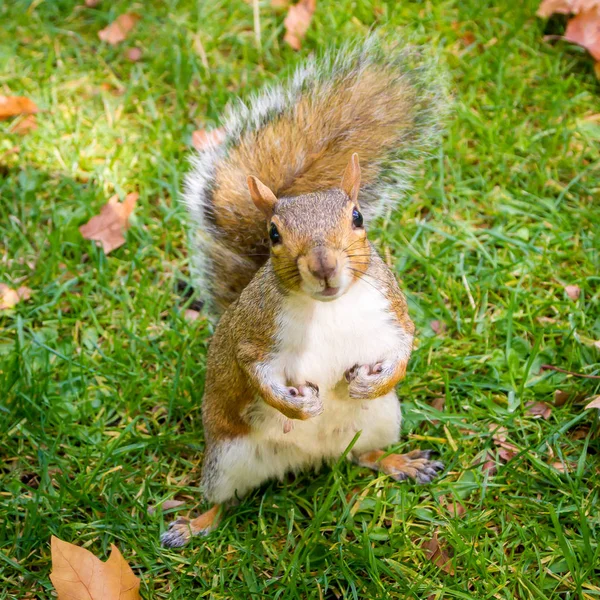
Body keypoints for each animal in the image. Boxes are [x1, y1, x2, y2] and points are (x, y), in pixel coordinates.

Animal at [159, 34, 446, 548]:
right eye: (273, 234)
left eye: (357, 217)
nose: (324, 266)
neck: (327, 309)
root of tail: (313, 459)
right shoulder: (253, 336)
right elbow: (255, 373)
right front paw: (297, 403)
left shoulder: (391, 309)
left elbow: (404, 346)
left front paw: (373, 379)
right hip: (228, 459)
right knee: (224, 502)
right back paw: (193, 526)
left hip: (379, 421)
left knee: (365, 457)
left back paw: (402, 463)